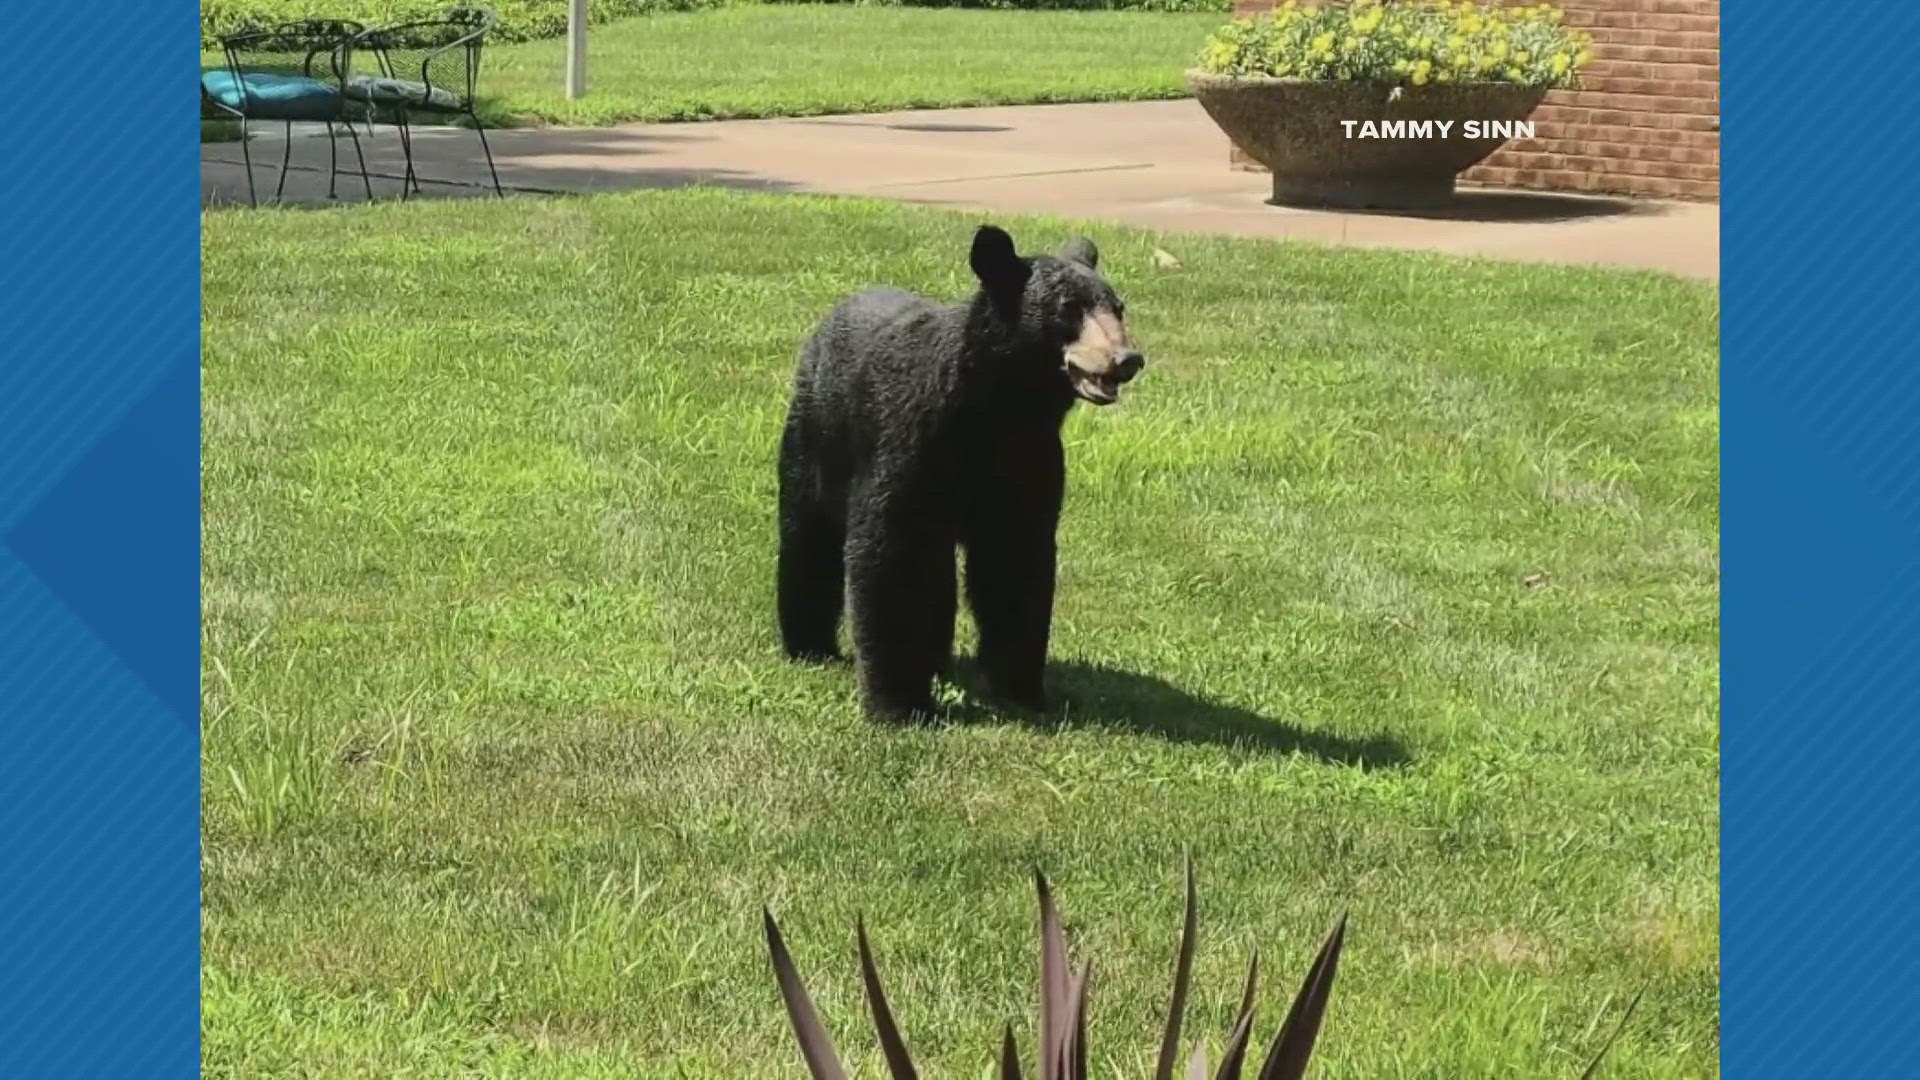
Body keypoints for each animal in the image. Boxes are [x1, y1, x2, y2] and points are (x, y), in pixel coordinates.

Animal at [775, 222, 1144, 718]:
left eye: (1118, 307)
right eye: (1069, 308)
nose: (1126, 359)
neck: (996, 410)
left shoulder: (1027, 456)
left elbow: (1015, 557)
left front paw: (1020, 690)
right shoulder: (909, 435)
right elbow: (888, 550)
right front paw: (898, 704)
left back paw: (935, 658)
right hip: (815, 435)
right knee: (808, 533)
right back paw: (809, 645)